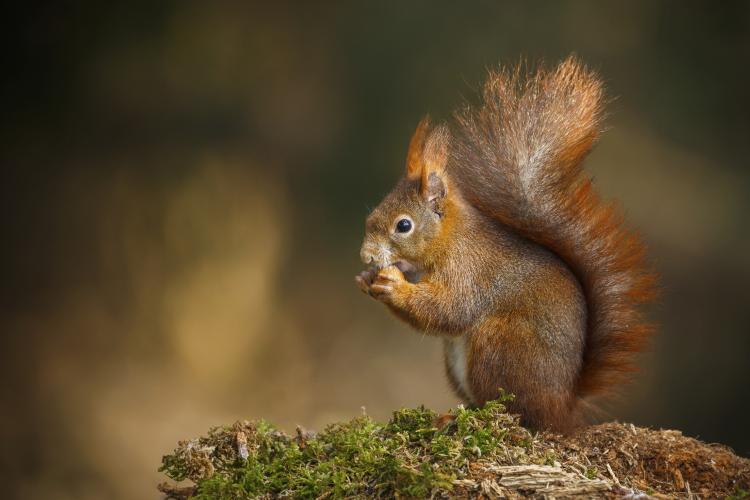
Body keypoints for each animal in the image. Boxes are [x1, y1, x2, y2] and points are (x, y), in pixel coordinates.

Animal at [356, 55, 656, 434]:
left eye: (404, 225)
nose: (365, 255)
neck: (451, 238)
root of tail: (563, 408)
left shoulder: (469, 270)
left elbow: (450, 310)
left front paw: (393, 285)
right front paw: (366, 279)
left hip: (499, 344)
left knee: (517, 412)